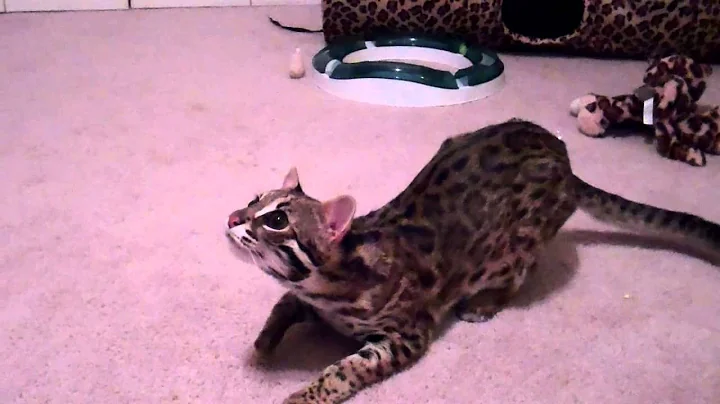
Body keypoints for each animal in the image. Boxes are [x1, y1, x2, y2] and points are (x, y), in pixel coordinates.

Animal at [225, 118, 720, 404]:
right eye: (253, 200)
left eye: (275, 220)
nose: (231, 217)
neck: (327, 288)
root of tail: (564, 157)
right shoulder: (305, 298)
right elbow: (282, 305)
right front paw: (264, 343)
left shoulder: (405, 336)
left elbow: (343, 369)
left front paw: (305, 394)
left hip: (515, 246)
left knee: (521, 272)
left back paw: (485, 303)